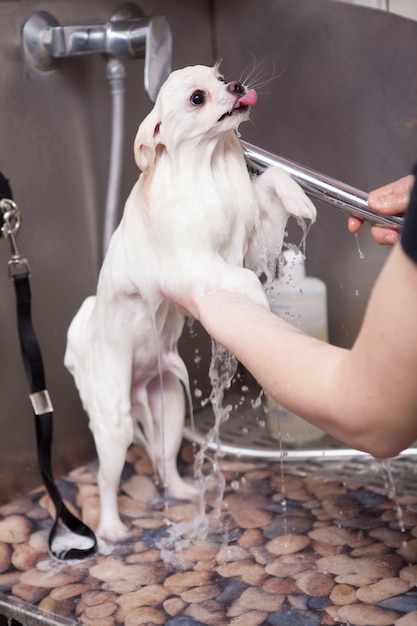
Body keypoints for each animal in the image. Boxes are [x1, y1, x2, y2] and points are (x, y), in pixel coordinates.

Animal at [63, 64, 314, 540]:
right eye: (198, 97)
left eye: (222, 76)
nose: (237, 87)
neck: (209, 169)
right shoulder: (191, 268)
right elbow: (244, 281)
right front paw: (261, 308)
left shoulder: (253, 246)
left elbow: (272, 182)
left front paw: (300, 198)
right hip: (114, 420)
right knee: (106, 478)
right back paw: (112, 529)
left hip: (168, 408)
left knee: (164, 460)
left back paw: (183, 492)